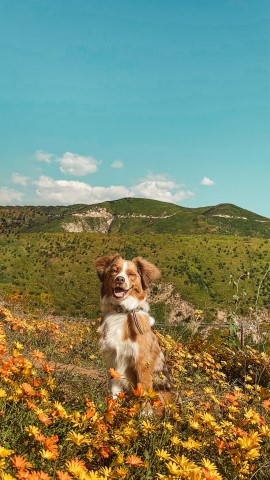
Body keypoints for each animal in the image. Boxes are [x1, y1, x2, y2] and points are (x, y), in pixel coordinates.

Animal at [95, 253, 172, 410]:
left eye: (131, 274)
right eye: (114, 271)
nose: (120, 279)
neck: (121, 312)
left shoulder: (142, 362)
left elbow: (144, 391)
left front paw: (144, 414)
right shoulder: (113, 360)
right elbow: (114, 390)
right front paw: (111, 411)